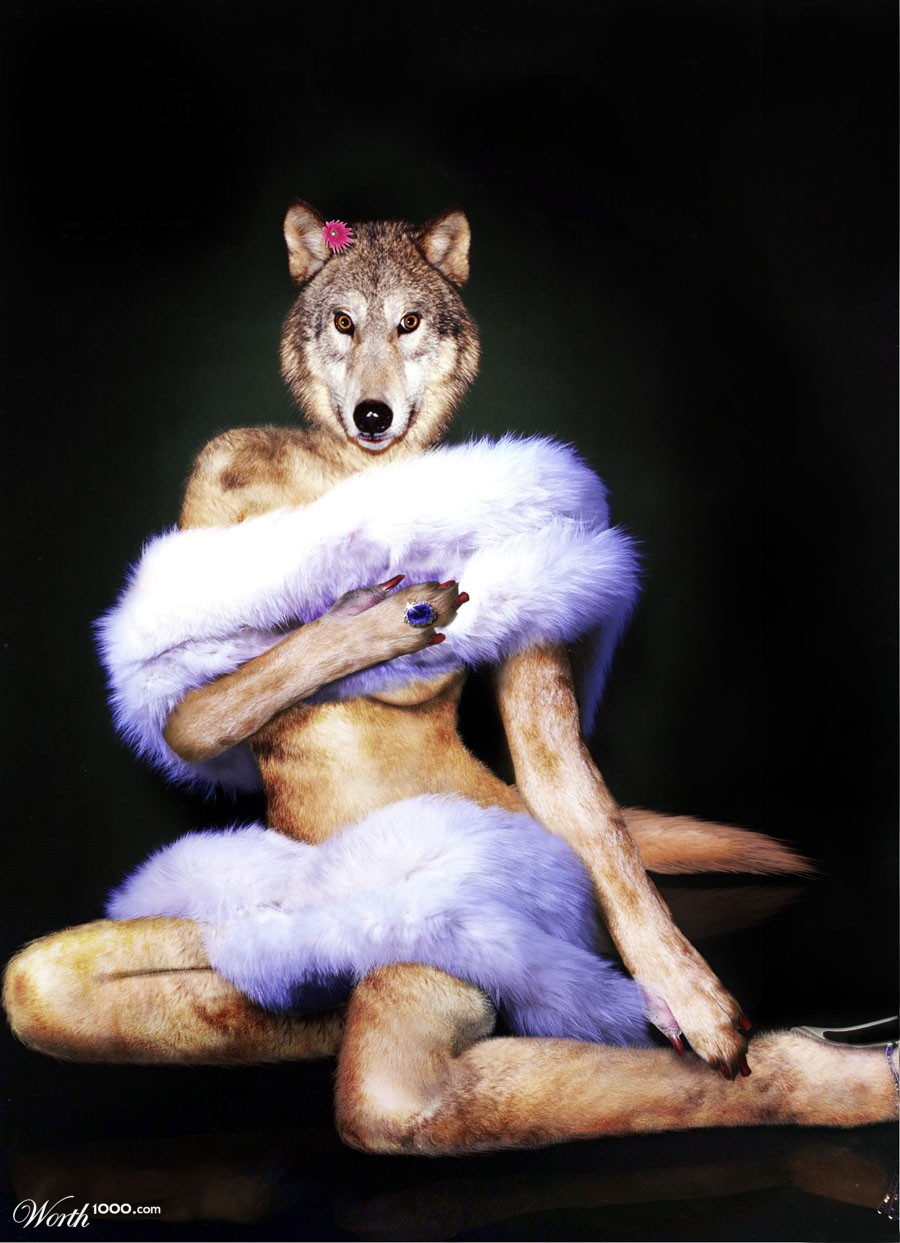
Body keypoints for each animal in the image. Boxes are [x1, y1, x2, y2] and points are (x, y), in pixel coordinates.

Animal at [4, 202, 896, 1154]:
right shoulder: (212, 496)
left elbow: (578, 794)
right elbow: (204, 703)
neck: (361, 476)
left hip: (450, 940)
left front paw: (690, 991)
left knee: (399, 1092)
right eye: (343, 321)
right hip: (265, 947)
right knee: (45, 981)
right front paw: (373, 614)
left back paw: (839, 1070)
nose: (373, 411)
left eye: (410, 321)